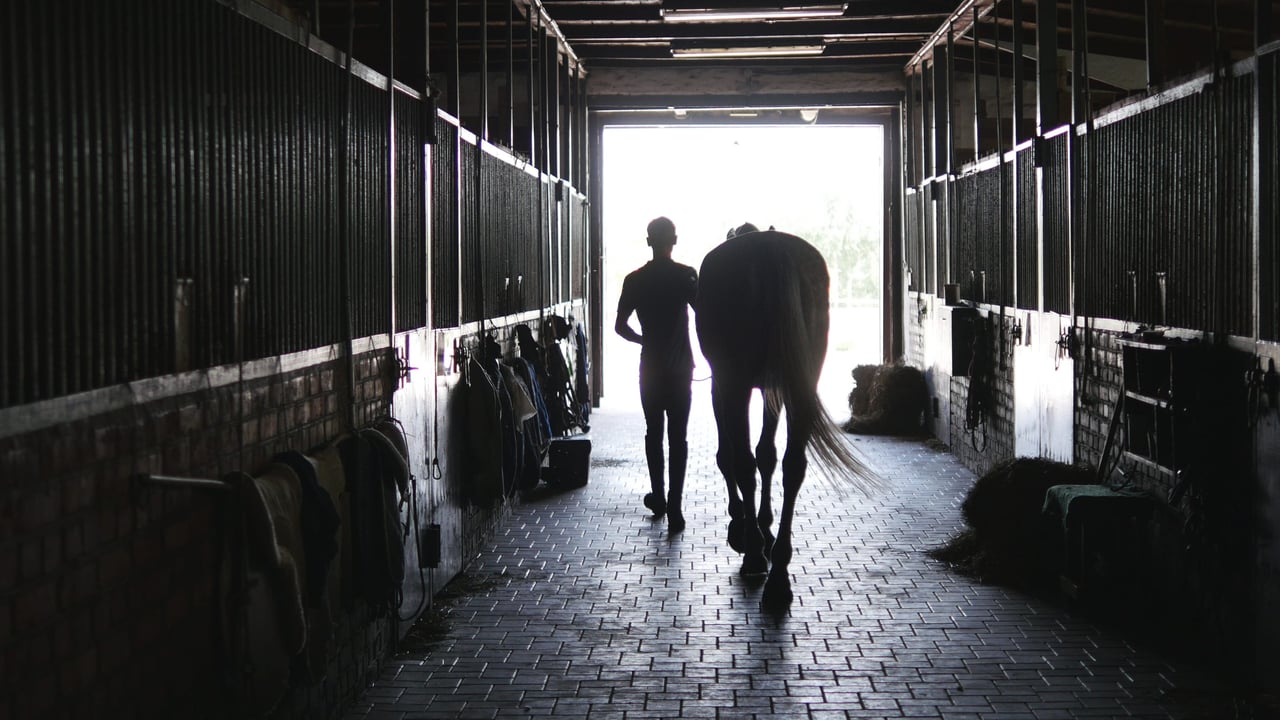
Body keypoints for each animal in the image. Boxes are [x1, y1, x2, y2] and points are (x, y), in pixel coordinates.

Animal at [696, 226, 885, 607]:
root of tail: (771, 250)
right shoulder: (776, 388)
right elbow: (768, 455)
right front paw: (764, 528)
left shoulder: (723, 385)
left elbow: (731, 456)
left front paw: (742, 528)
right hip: (801, 382)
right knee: (792, 466)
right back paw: (779, 573)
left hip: (736, 382)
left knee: (744, 463)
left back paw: (755, 556)